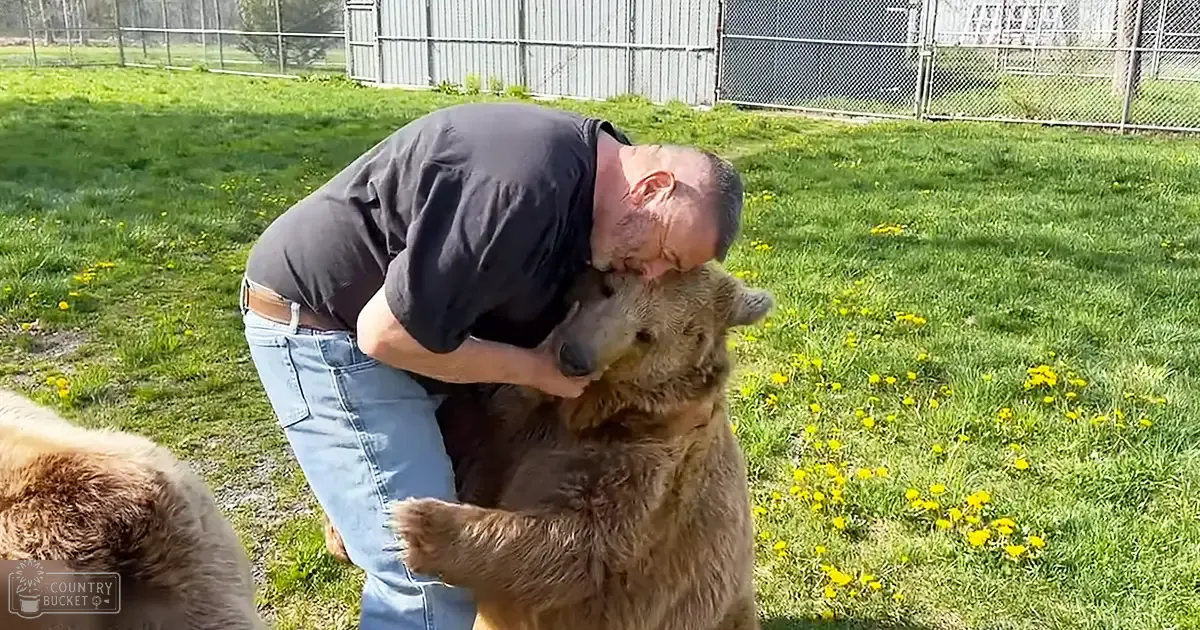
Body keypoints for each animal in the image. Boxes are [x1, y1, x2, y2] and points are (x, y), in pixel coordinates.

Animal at [376, 261, 773, 630]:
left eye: (646, 335)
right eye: (609, 286)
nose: (576, 356)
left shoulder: (648, 468)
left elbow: (582, 543)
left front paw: (414, 523)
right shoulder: (513, 425)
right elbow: (469, 440)